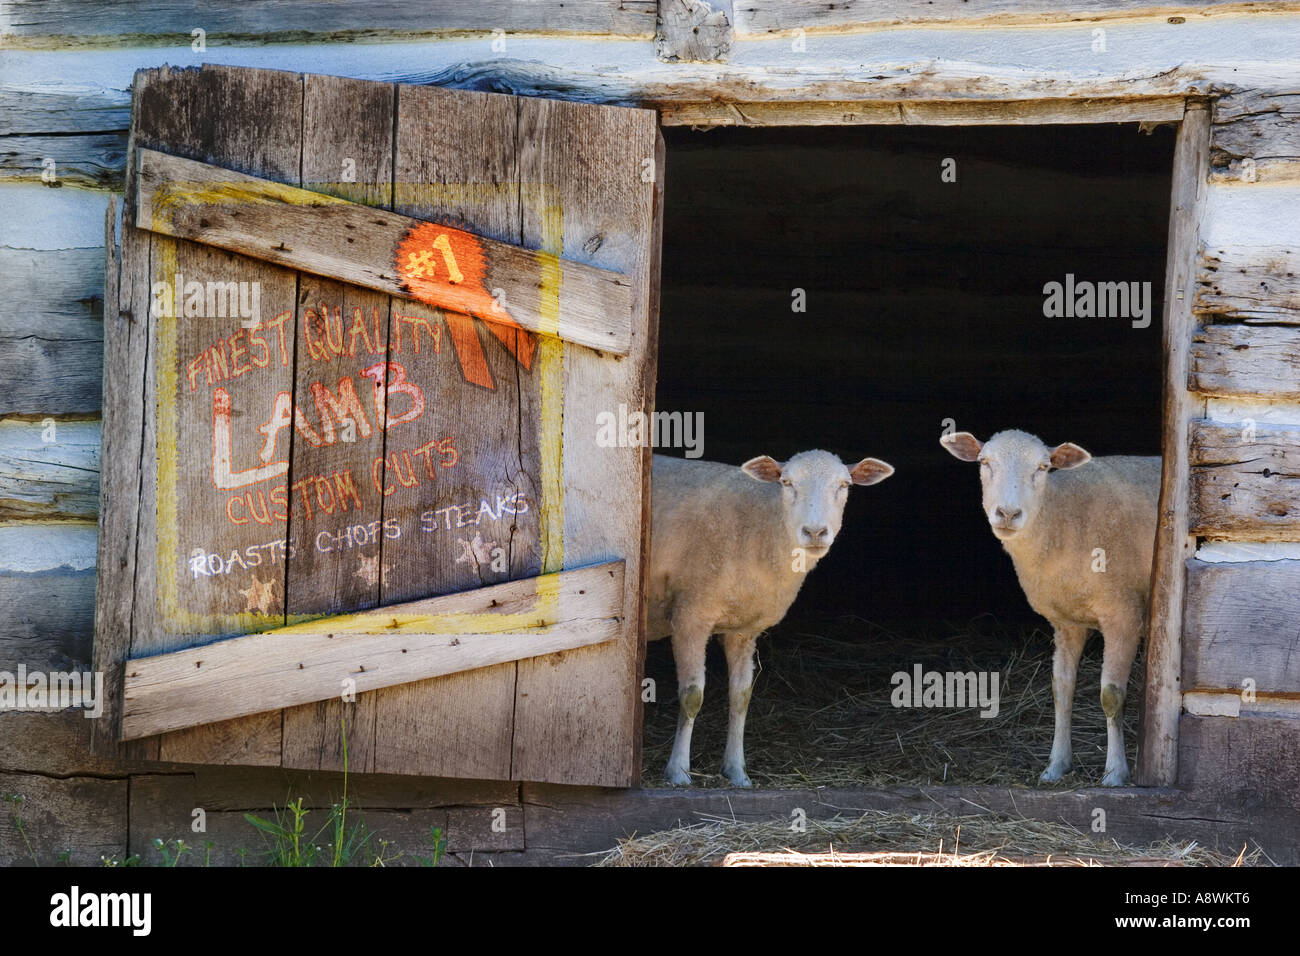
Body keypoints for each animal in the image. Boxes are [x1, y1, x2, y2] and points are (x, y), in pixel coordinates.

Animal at [647, 447, 894, 785]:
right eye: (786, 482)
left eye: (844, 485)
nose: (815, 532)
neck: (762, 525)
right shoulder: (690, 616)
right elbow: (692, 695)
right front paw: (679, 772)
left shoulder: (744, 630)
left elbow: (741, 697)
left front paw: (737, 771)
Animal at [941, 429, 1164, 790]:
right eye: (984, 462)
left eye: (1043, 467)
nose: (1007, 514)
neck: (1061, 516)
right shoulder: (1065, 622)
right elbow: (1062, 690)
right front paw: (1056, 765)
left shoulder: (1124, 615)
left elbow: (1111, 695)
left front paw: (1115, 772)